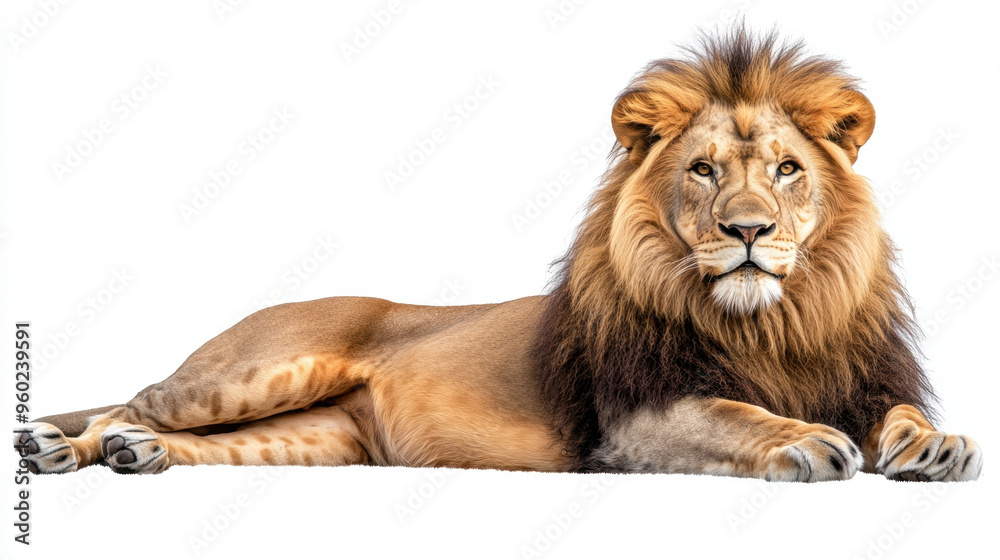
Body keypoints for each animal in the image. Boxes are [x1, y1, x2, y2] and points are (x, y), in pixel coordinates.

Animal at [14, 29, 982, 482]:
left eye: (787, 170)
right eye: (704, 170)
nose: (748, 230)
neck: (771, 324)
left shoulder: (865, 379)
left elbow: (903, 415)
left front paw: (938, 445)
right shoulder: (633, 420)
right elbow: (736, 415)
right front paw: (806, 438)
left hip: (317, 438)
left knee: (187, 438)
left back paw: (140, 455)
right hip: (251, 371)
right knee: (134, 399)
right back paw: (63, 448)